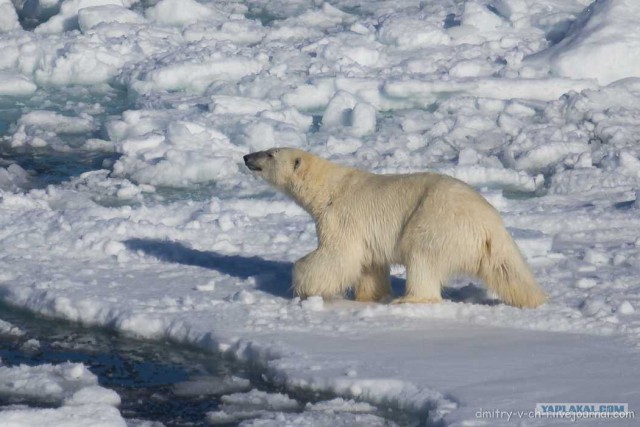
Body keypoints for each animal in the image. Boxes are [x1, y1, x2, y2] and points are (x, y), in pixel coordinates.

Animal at [242, 149, 548, 310]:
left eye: (269, 154)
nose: (246, 156)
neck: (328, 188)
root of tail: (489, 223)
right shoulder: (366, 232)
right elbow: (369, 263)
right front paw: (369, 296)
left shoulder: (340, 215)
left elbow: (338, 255)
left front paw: (303, 284)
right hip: (488, 244)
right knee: (508, 270)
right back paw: (533, 298)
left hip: (435, 222)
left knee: (421, 256)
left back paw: (409, 299)